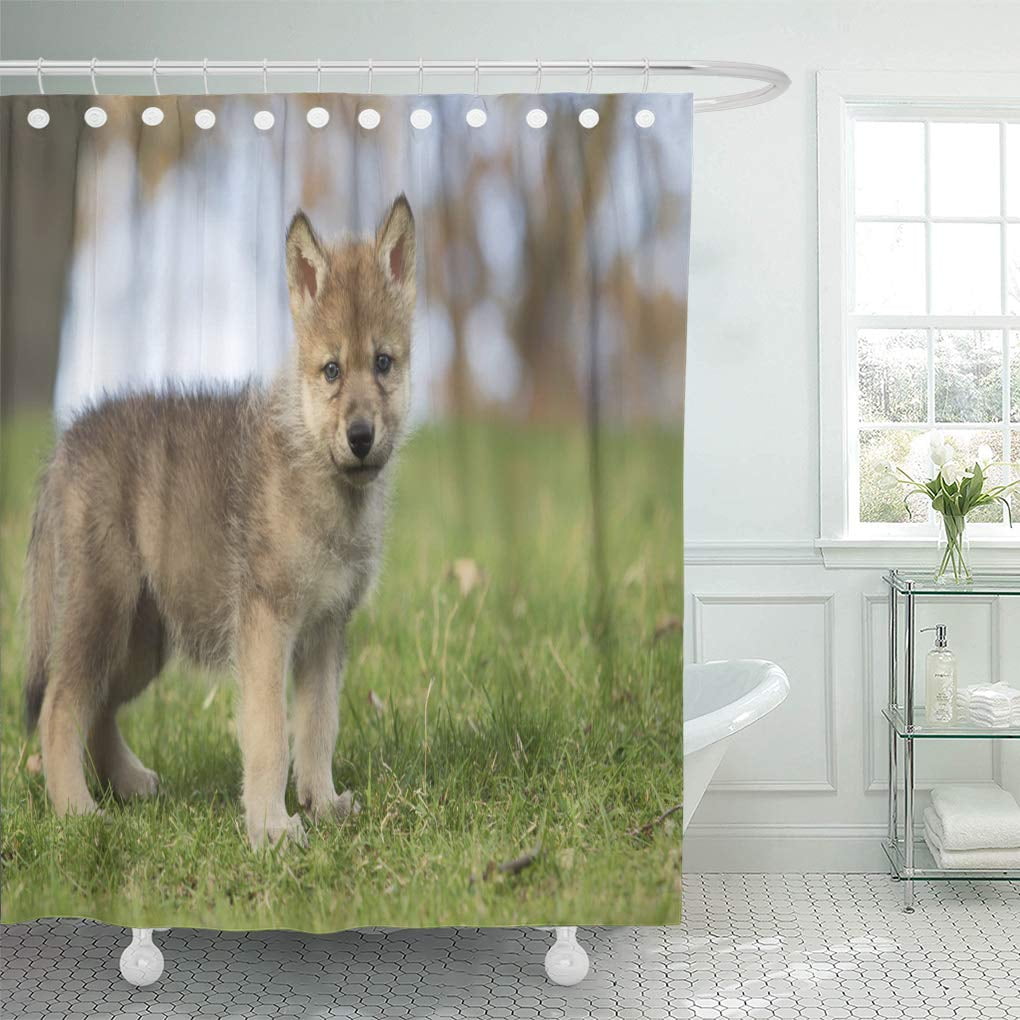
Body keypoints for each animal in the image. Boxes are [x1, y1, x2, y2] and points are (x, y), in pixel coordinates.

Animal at [23, 195, 415, 848]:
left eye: (383, 363)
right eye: (332, 371)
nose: (361, 437)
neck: (319, 476)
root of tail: (66, 444)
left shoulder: (325, 631)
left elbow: (318, 727)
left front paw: (322, 804)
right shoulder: (266, 625)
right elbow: (269, 733)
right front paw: (271, 828)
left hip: (141, 641)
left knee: (97, 708)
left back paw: (127, 783)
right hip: (102, 610)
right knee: (60, 706)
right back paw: (77, 810)